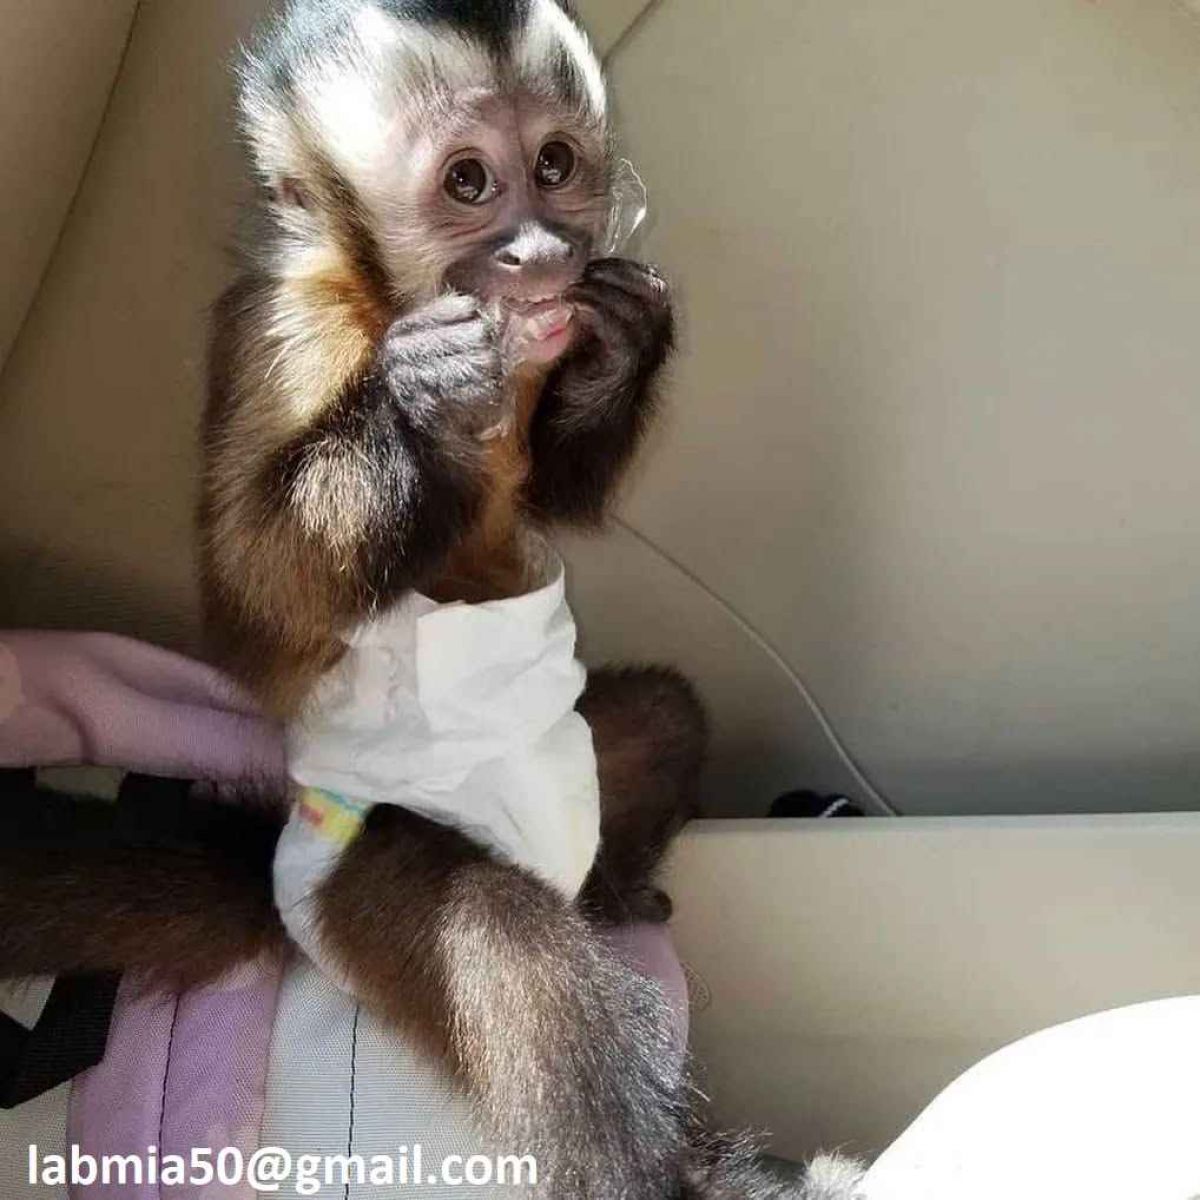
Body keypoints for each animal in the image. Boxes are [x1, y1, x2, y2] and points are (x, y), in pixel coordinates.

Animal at [0, 3, 864, 1196]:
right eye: (468, 181)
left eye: (555, 167)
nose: (543, 254)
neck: (388, 301)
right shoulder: (285, 327)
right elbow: (259, 619)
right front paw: (425, 405)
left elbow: (557, 490)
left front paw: (623, 344)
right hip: (351, 886)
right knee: (506, 942)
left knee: (662, 720)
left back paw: (606, 895)